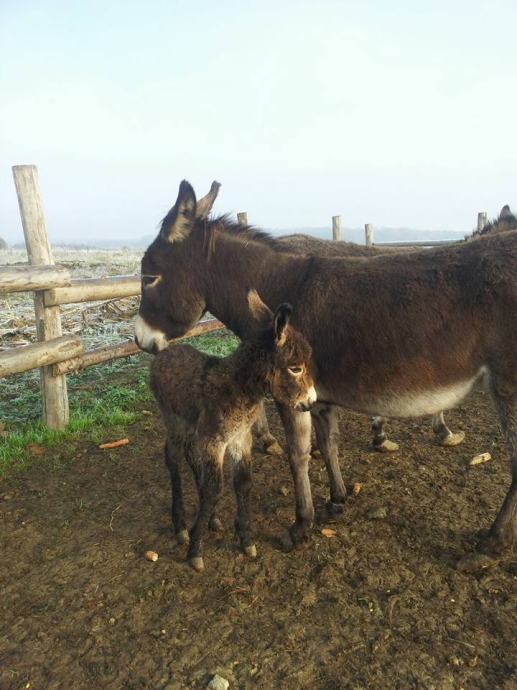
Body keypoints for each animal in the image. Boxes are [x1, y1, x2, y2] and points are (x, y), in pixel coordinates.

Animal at [149, 290, 314, 568]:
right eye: (295, 368)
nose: (311, 402)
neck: (239, 387)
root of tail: (165, 352)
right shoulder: (215, 441)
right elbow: (214, 488)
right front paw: (195, 550)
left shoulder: (240, 439)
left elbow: (243, 483)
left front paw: (246, 539)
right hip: (175, 422)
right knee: (173, 460)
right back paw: (181, 527)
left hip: (194, 428)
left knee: (192, 458)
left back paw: (211, 519)